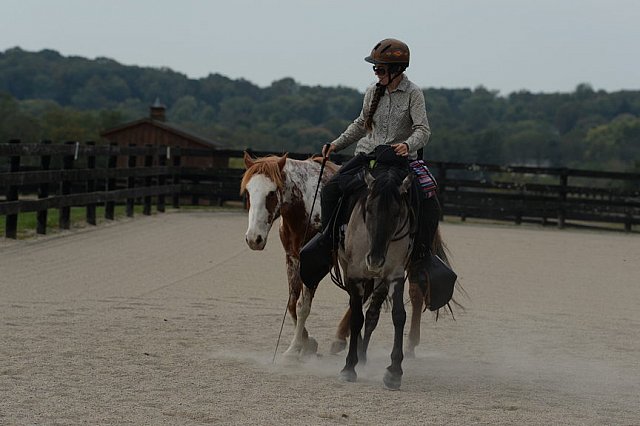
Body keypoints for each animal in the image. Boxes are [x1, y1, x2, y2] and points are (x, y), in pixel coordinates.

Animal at [241, 151, 340, 358]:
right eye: (247, 192)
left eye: (271, 192)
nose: (254, 239)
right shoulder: (292, 259)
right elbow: (292, 304)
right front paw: (307, 342)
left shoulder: (316, 265)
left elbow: (303, 306)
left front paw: (294, 348)